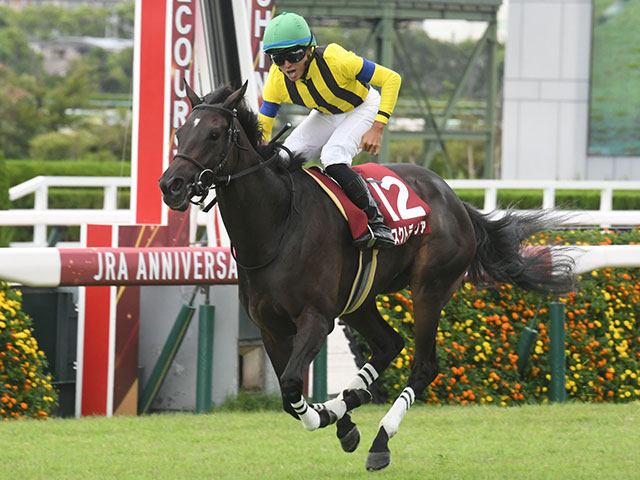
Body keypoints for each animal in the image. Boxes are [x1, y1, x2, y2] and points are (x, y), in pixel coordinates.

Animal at [159, 81, 576, 468]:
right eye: (179, 132)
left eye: (214, 134)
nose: (171, 185)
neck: (278, 226)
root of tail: (457, 201)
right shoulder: (270, 327)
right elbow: (288, 395)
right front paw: (337, 417)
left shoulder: (316, 318)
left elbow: (292, 384)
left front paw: (332, 417)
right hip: (360, 300)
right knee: (390, 344)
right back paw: (351, 400)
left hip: (429, 289)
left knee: (423, 365)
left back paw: (380, 440)